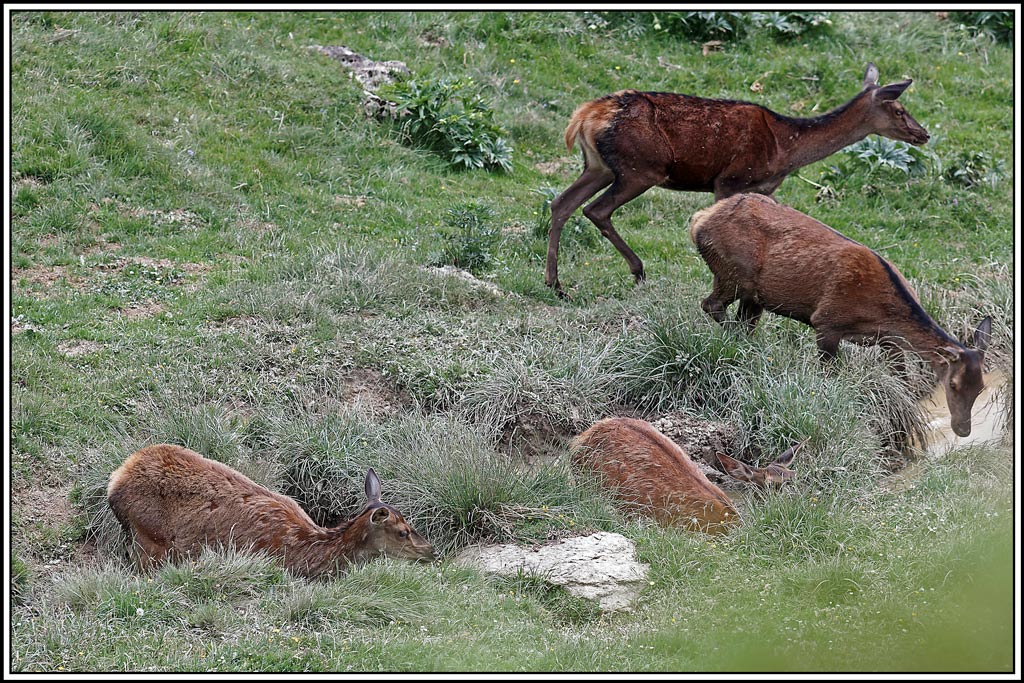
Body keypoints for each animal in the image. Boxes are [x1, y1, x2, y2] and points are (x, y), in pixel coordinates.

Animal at [545, 62, 929, 293]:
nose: (923, 133)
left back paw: (555, 283)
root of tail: (584, 117)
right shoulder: (730, 180)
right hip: (642, 167)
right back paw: (636, 270)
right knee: (595, 210)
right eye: (899, 109)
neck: (786, 149)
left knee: (561, 203)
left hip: (598, 166)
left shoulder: (762, 187)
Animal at [689, 193, 992, 437]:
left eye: (980, 388)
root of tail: (699, 220)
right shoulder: (827, 320)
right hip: (733, 273)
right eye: (952, 384)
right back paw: (750, 348)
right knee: (711, 305)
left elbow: (903, 380)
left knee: (743, 320)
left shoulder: (889, 340)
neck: (881, 312)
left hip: (753, 296)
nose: (963, 430)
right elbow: (829, 374)